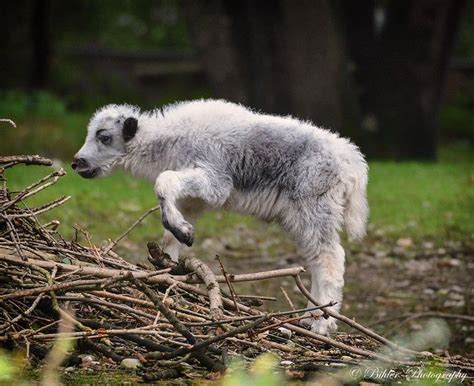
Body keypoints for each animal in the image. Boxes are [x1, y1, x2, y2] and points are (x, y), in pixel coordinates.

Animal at [73, 99, 370, 334]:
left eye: (104, 137)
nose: (77, 163)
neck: (169, 140)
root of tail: (351, 161)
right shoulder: (193, 200)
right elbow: (169, 230)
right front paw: (170, 259)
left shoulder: (214, 182)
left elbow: (163, 181)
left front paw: (181, 238)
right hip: (302, 215)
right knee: (317, 258)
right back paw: (309, 317)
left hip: (315, 206)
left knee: (330, 258)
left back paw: (322, 323)